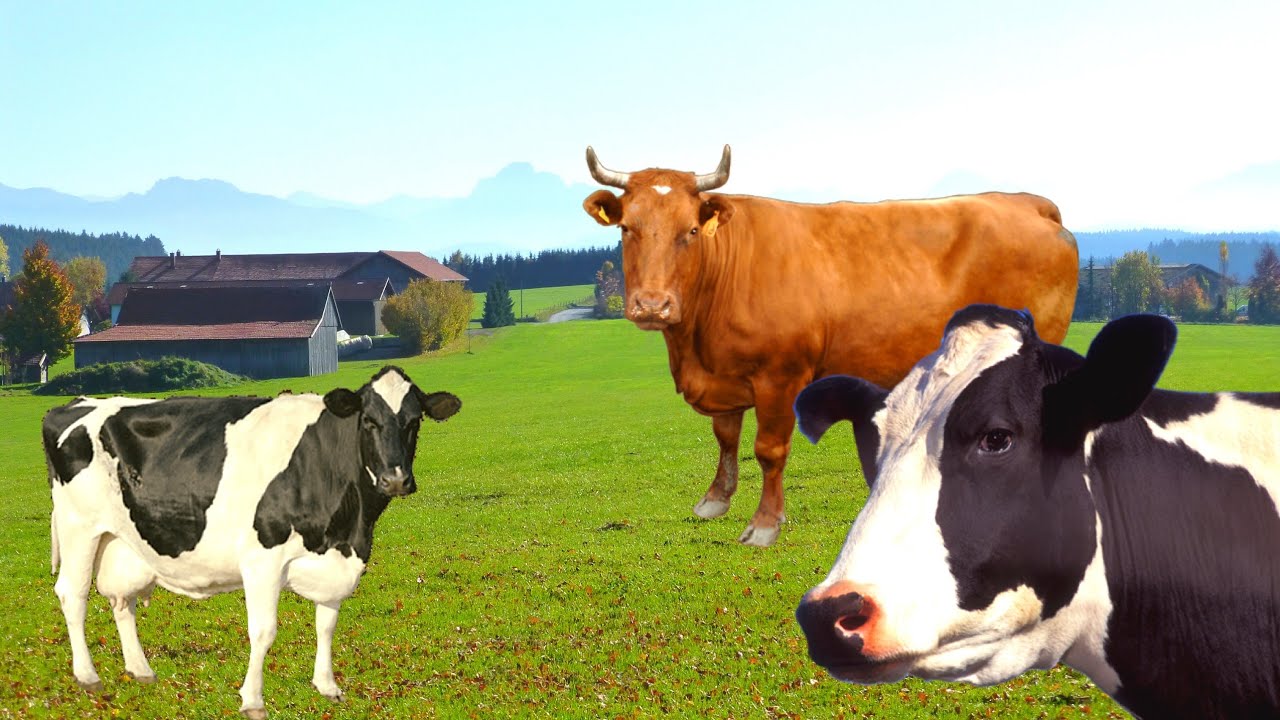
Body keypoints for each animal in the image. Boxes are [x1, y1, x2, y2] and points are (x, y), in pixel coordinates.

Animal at [42, 366, 461, 719]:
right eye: (369, 421)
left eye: (414, 421)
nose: (396, 479)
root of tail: (75, 404)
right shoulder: (263, 560)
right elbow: (263, 631)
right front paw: (253, 700)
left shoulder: (336, 560)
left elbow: (327, 624)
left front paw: (327, 686)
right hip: (79, 527)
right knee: (72, 594)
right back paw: (88, 676)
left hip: (121, 541)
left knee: (121, 601)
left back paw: (141, 669)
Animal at [582, 146, 1079, 546]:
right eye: (626, 229)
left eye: (689, 231)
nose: (653, 305)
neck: (694, 347)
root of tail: (1028, 202)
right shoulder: (724, 375)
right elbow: (726, 438)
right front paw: (714, 501)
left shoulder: (780, 376)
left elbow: (768, 449)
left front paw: (764, 525)